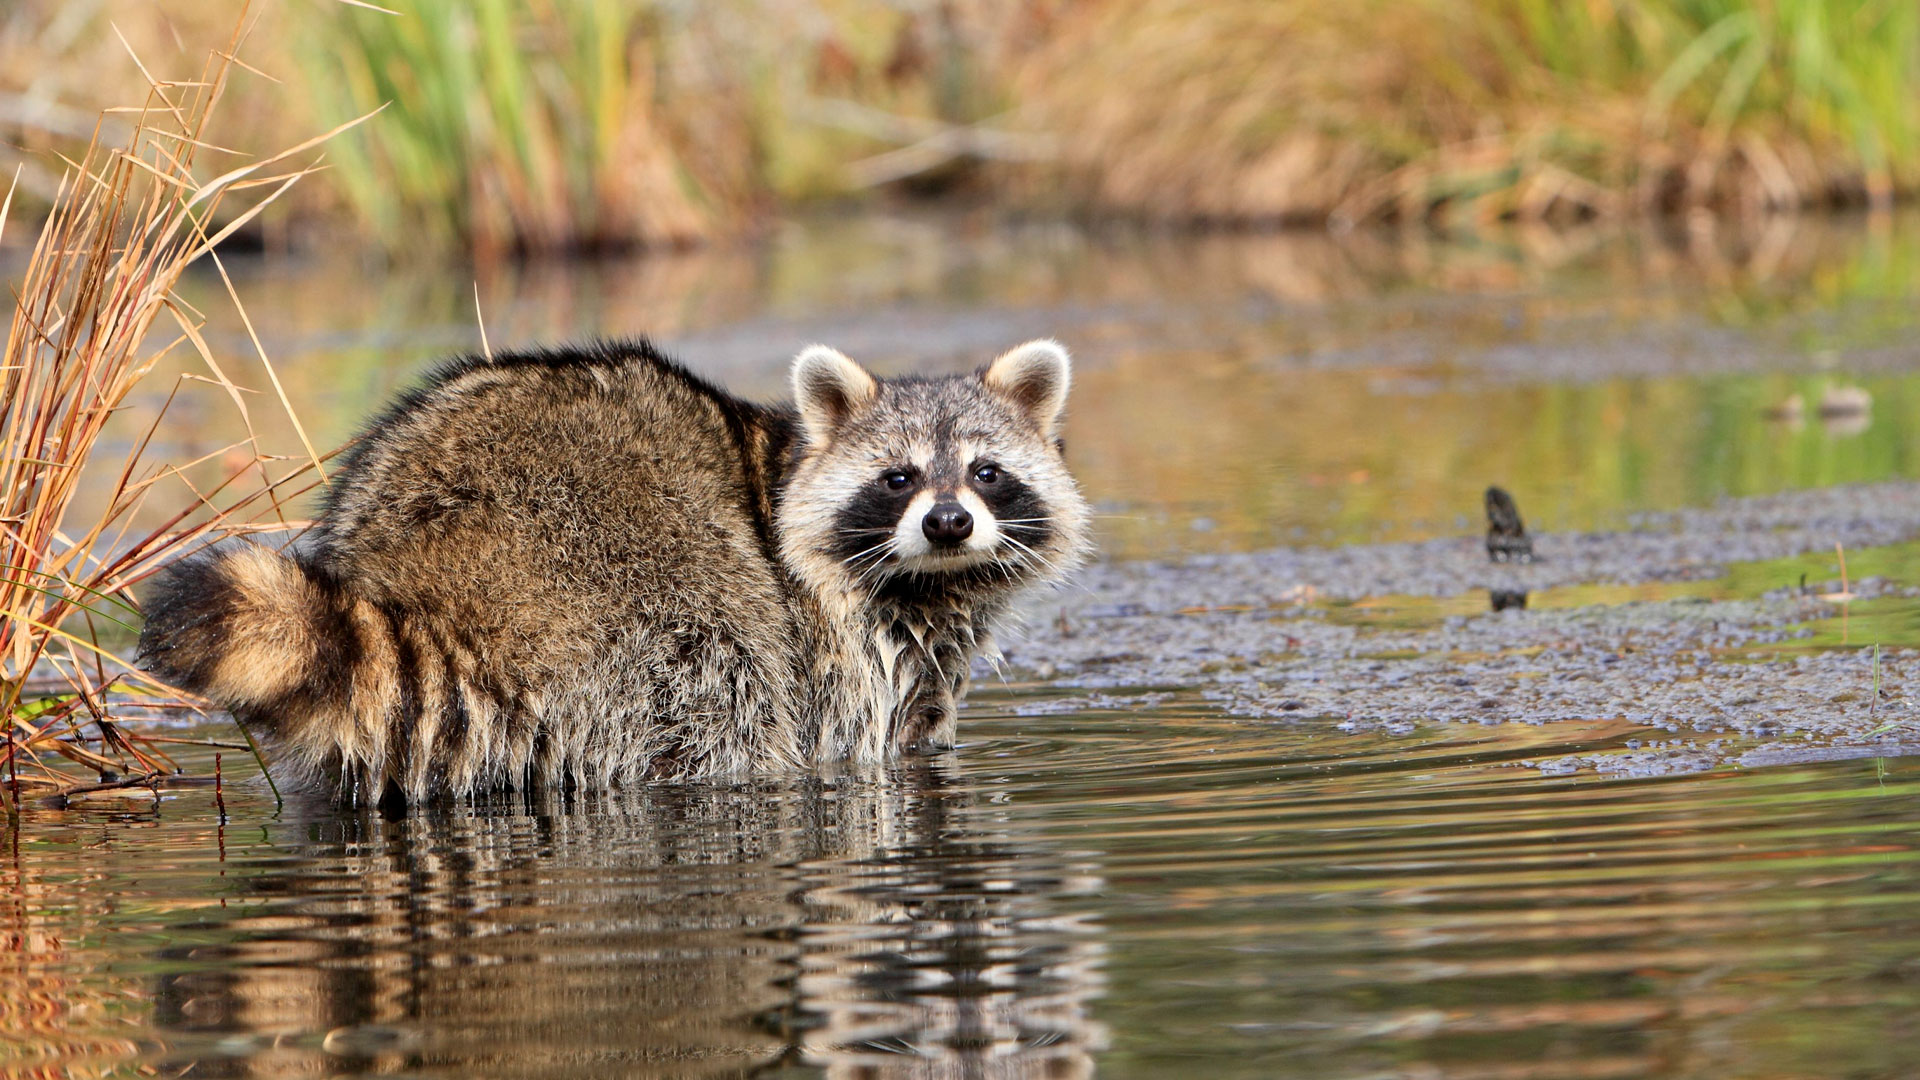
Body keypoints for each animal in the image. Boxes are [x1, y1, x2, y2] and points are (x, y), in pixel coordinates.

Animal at [140, 336, 1090, 799]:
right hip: (627, 585)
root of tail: (422, 579)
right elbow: (874, 737)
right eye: (898, 478)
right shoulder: (848, 644)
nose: (947, 522)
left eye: (986, 473)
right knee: (723, 680)